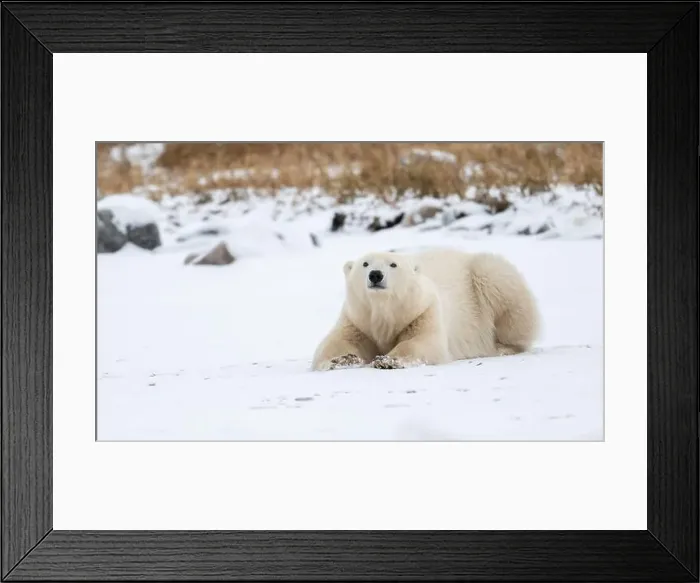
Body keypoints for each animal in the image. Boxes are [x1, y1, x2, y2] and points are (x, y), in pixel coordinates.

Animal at [311, 247, 540, 371]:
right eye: (365, 264)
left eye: (393, 264)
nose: (375, 275)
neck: (385, 311)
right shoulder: (358, 320)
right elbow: (338, 342)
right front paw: (342, 359)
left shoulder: (422, 311)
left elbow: (421, 342)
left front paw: (388, 360)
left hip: (486, 276)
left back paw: (502, 347)